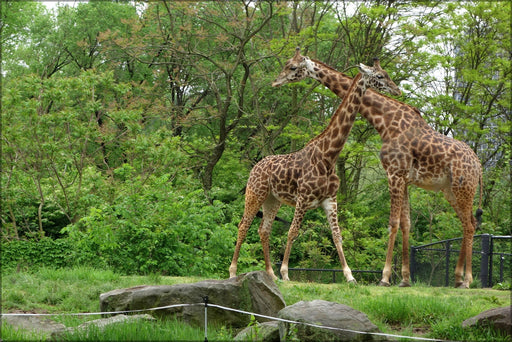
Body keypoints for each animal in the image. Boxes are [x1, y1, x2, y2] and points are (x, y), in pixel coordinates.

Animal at [230, 59, 402, 284]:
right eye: (380, 76)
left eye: (386, 73)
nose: (396, 90)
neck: (328, 156)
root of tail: (255, 167)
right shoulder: (303, 198)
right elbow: (292, 232)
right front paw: (285, 272)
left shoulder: (330, 199)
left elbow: (337, 235)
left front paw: (350, 276)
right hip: (255, 194)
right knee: (243, 225)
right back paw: (233, 271)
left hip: (272, 200)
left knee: (264, 230)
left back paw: (270, 274)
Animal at [272, 47, 484, 288]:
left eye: (292, 67)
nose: (276, 82)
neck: (384, 119)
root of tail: (479, 165)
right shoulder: (404, 178)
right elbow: (405, 224)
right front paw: (405, 279)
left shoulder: (394, 173)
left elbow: (392, 223)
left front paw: (384, 277)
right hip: (451, 190)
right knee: (469, 223)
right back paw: (458, 278)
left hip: (463, 188)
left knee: (470, 225)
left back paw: (467, 280)